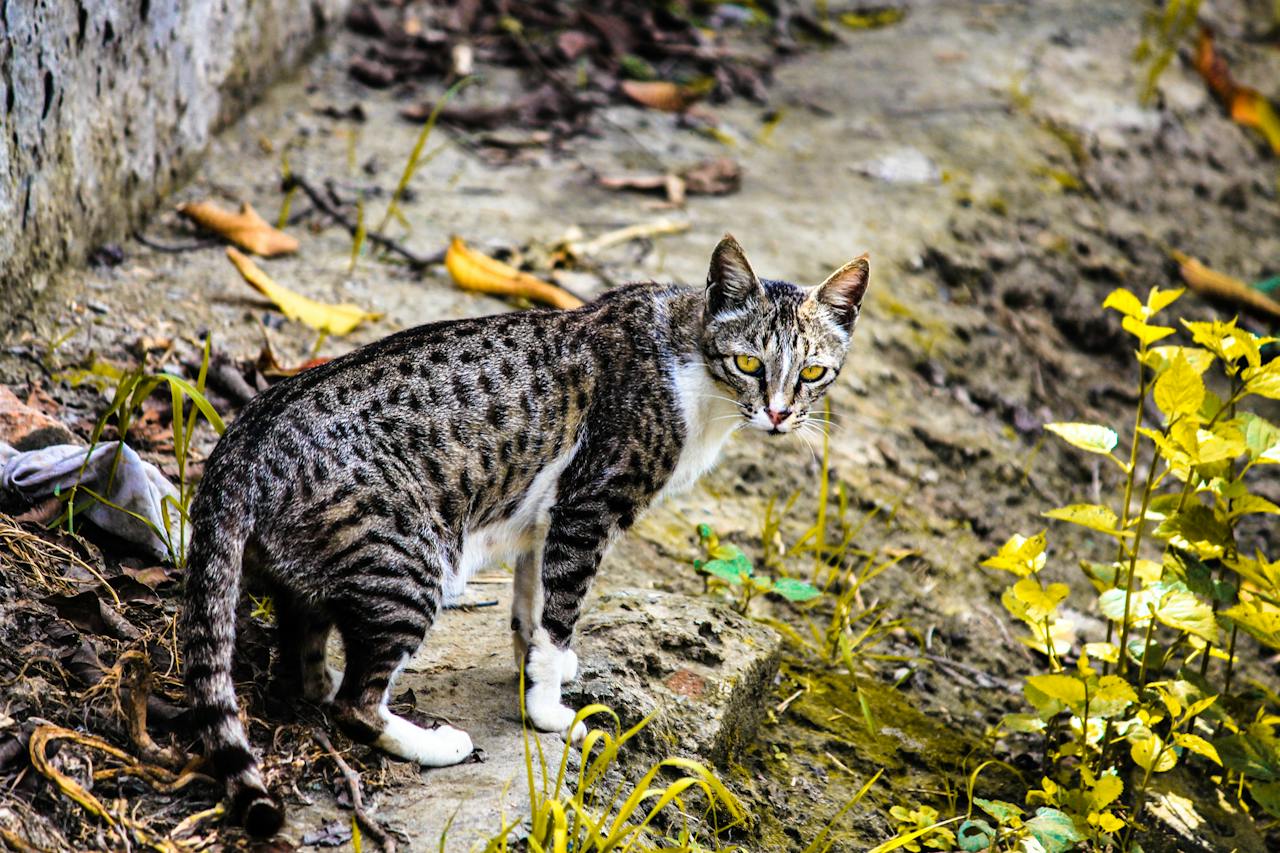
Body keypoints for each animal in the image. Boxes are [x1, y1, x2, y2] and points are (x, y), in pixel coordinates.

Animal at [183, 233, 870, 829]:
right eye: (748, 362)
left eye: (812, 373)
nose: (779, 414)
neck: (693, 366)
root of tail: (239, 446)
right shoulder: (588, 507)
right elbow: (561, 609)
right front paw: (550, 715)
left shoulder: (547, 523)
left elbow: (533, 611)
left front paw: (548, 670)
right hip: (410, 560)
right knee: (358, 704)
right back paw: (433, 743)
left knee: (305, 654)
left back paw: (321, 681)